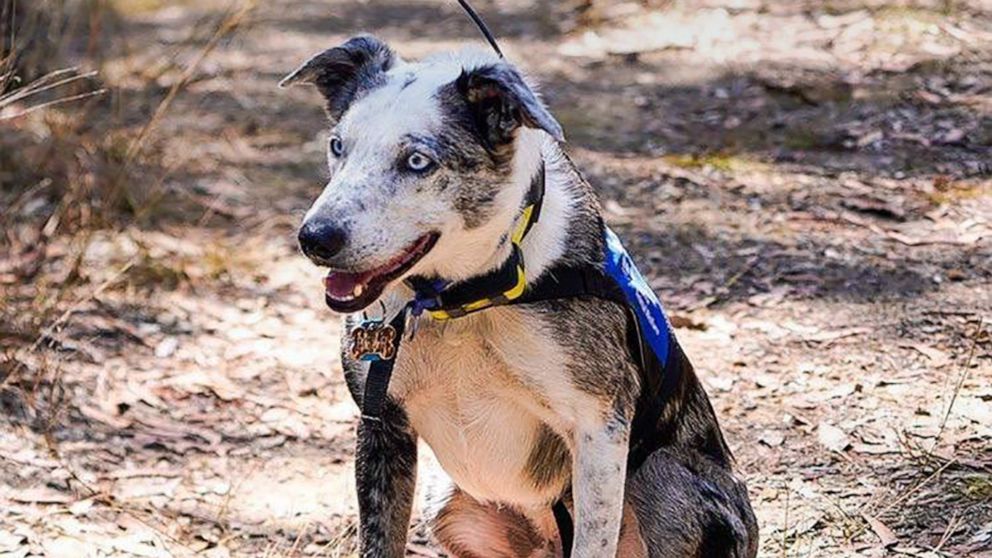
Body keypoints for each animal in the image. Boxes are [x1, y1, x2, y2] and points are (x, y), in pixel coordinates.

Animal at [280, 36, 760, 558]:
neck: (463, 299)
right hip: (445, 499)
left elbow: (593, 539)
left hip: (667, 480)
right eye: (337, 146)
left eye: (417, 161)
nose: (314, 238)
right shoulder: (382, 423)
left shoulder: (599, 428)